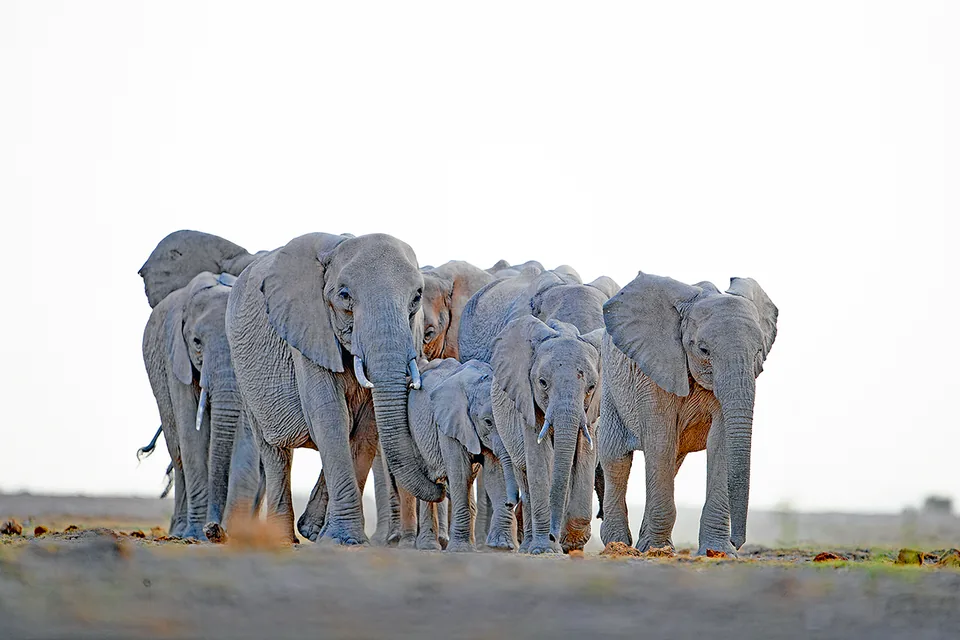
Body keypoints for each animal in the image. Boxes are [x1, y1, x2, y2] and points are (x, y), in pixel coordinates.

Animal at [141, 271, 261, 539]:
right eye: (197, 342)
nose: (214, 528)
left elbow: (246, 436)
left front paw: (235, 534)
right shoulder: (175, 359)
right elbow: (191, 434)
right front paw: (195, 535)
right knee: (178, 455)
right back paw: (179, 531)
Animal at [226, 232, 444, 545]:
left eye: (416, 297)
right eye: (344, 295)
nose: (440, 484)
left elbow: (366, 429)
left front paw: (336, 537)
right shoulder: (307, 329)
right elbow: (329, 414)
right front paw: (344, 540)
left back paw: (310, 529)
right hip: (244, 373)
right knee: (275, 451)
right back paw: (284, 539)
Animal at [405, 358, 519, 552]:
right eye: (488, 422)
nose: (510, 503)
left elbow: (495, 475)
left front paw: (502, 546)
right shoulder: (449, 424)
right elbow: (459, 474)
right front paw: (459, 549)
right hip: (416, 432)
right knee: (429, 479)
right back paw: (429, 546)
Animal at [490, 316, 602, 554]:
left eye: (591, 387)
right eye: (542, 383)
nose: (553, 535)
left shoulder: (591, 413)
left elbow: (584, 456)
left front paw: (570, 542)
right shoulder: (526, 400)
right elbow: (540, 464)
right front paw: (545, 549)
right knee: (526, 480)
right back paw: (528, 547)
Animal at [598, 272, 778, 556]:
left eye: (759, 351)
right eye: (703, 350)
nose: (738, 543)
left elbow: (721, 441)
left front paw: (718, 552)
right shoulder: (652, 371)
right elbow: (660, 441)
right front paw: (657, 550)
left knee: (672, 461)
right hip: (610, 386)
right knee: (616, 457)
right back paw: (619, 545)